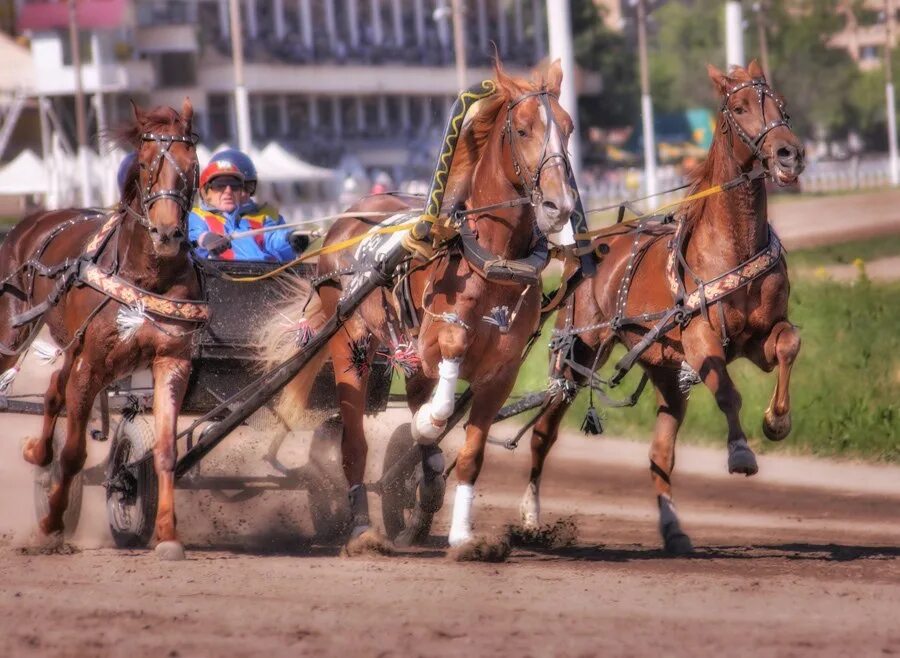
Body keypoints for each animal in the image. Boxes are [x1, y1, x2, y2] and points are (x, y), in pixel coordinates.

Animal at [516, 61, 804, 552]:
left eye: (781, 104)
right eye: (740, 107)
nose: (789, 153)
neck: (730, 246)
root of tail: (585, 253)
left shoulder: (759, 338)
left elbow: (788, 344)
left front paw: (776, 421)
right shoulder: (701, 339)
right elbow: (727, 392)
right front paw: (741, 452)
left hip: (666, 373)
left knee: (659, 453)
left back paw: (673, 528)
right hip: (577, 355)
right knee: (542, 432)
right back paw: (532, 516)